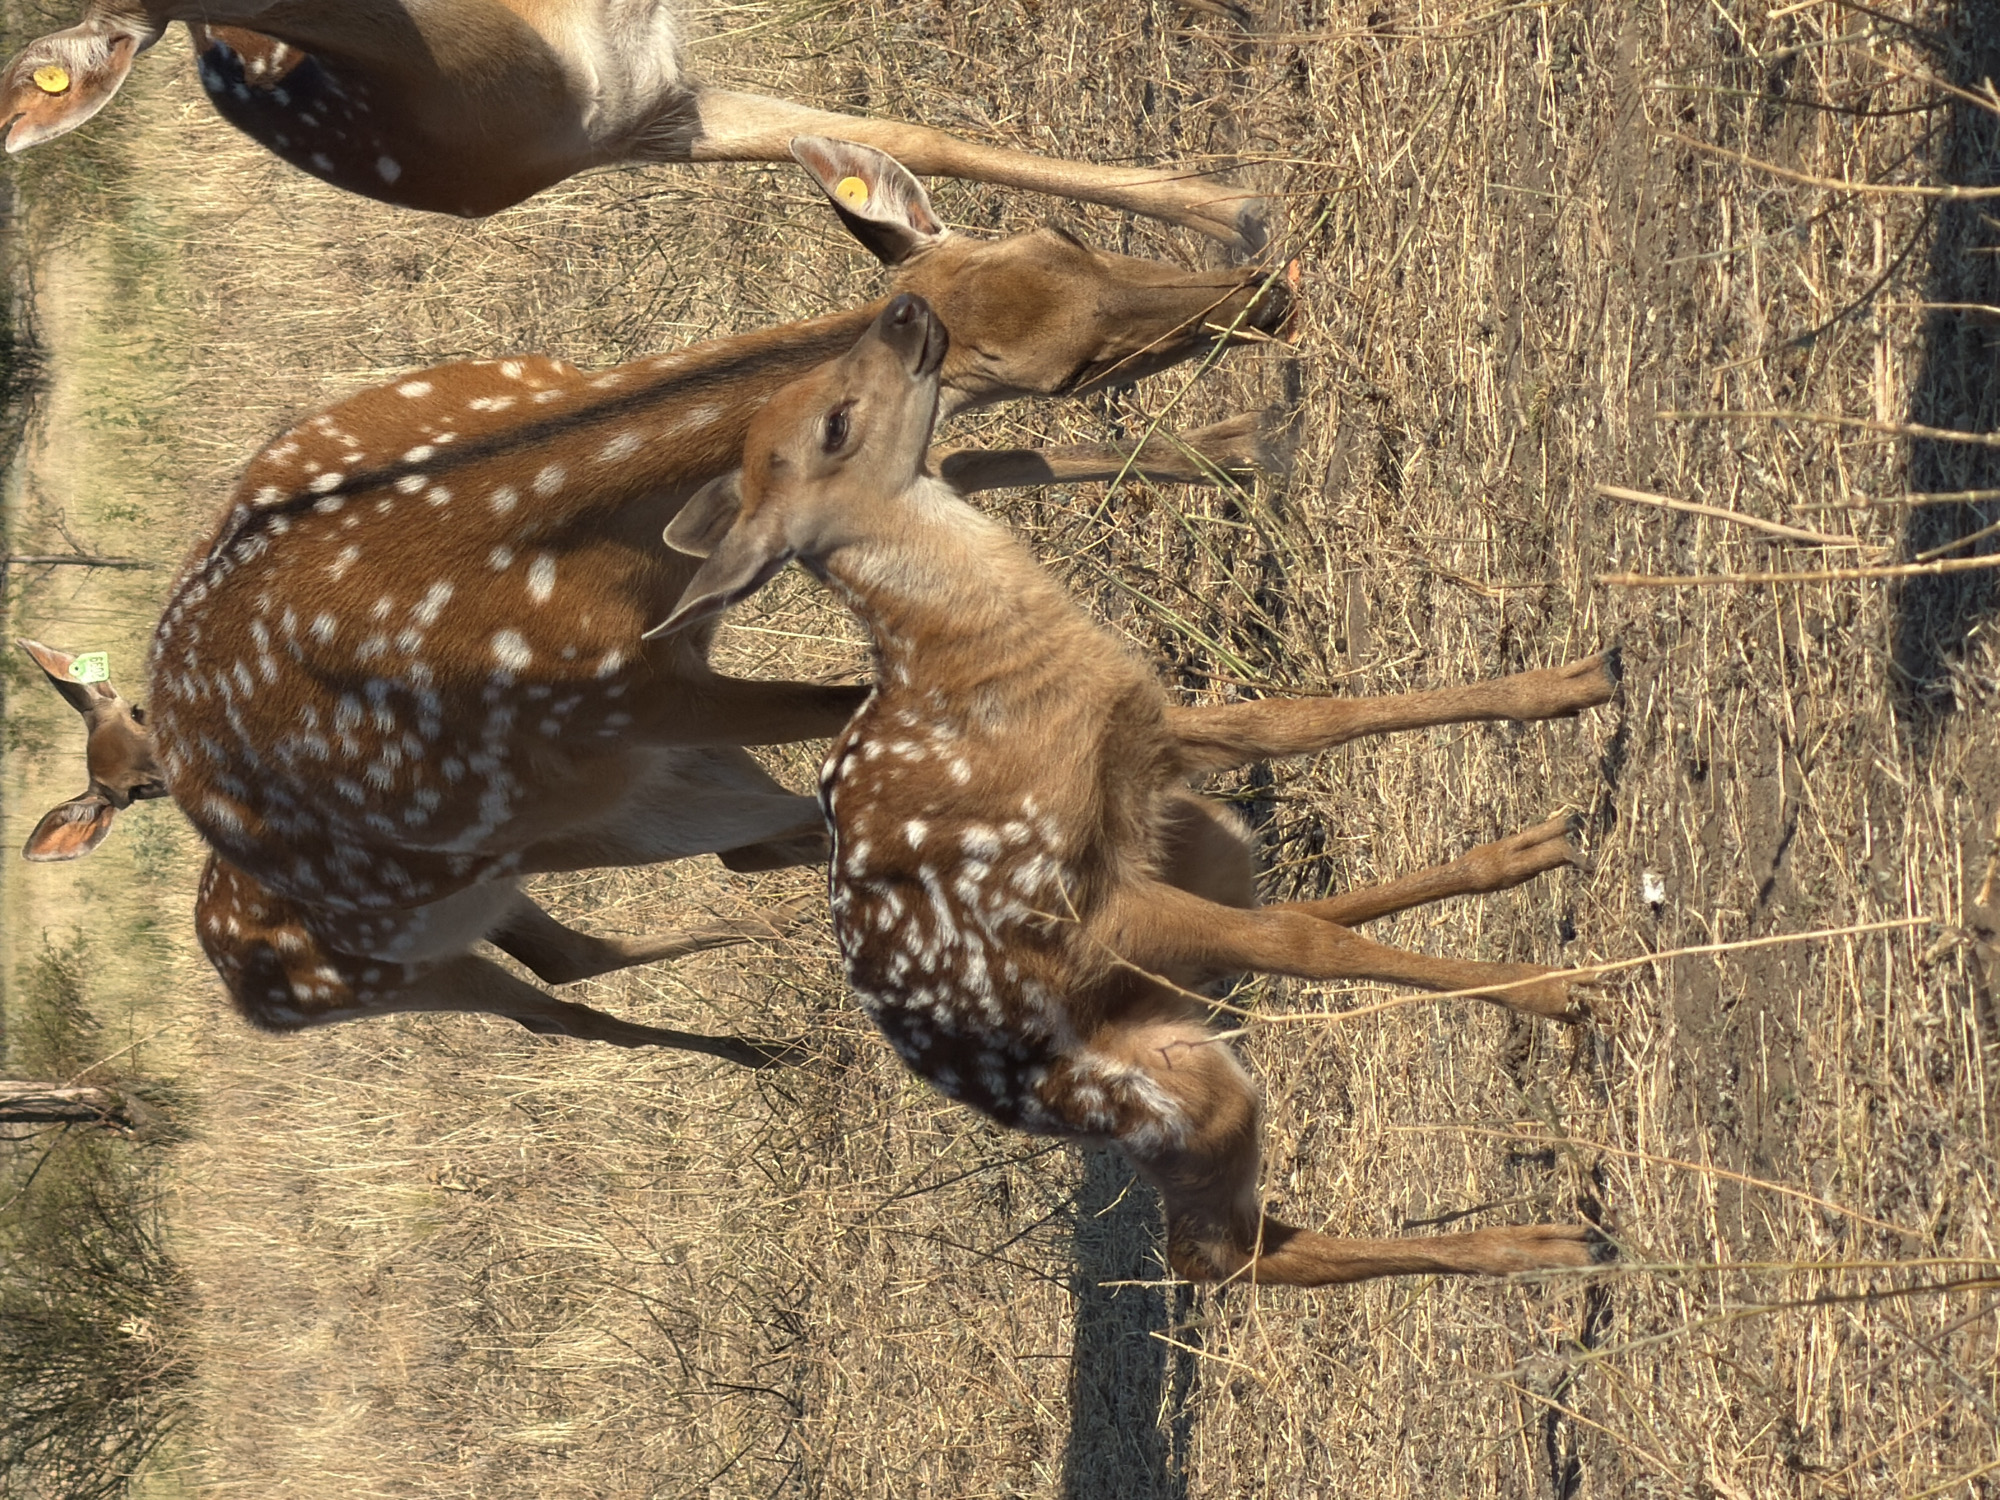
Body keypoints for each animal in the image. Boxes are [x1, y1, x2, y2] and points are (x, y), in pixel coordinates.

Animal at [17, 139, 1293, 1067]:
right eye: (1070, 370)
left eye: (1064, 235)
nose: (1268, 297)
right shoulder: (639, 701)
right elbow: (869, 696)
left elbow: (991, 468)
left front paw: (1250, 450)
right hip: (477, 895)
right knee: (577, 978)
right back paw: (773, 1032)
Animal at [650, 293, 1617, 1284]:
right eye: (835, 426)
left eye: (820, 403)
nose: (905, 308)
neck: (975, 674)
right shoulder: (1069, 912)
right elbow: (1301, 941)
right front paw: (1558, 993)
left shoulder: (1145, 735)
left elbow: (1308, 722)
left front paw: (1568, 684)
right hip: (1160, 1088)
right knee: (1217, 1249)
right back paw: (1549, 1241)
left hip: (1202, 843)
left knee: (1257, 940)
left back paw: (1530, 850)